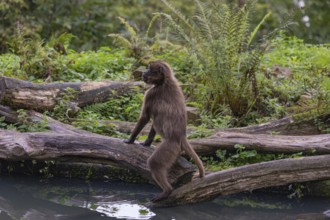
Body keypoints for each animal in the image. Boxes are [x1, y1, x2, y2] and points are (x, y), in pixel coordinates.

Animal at [124, 59, 204, 201]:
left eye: (149, 69)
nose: (143, 73)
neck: (164, 81)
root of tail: (181, 136)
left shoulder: (151, 93)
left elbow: (145, 117)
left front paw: (130, 140)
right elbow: (153, 123)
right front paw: (146, 143)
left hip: (170, 147)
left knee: (154, 163)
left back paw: (167, 191)